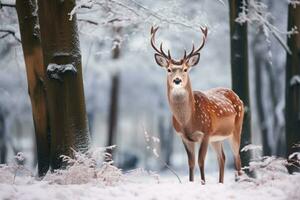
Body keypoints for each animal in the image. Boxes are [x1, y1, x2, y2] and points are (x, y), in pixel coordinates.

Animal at [151, 26, 245, 183]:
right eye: (169, 69)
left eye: (185, 69)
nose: (177, 80)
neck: (188, 121)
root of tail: (238, 97)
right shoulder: (183, 136)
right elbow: (191, 163)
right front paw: (192, 182)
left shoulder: (205, 132)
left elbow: (201, 161)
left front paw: (203, 183)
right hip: (217, 138)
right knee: (222, 158)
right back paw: (220, 182)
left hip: (236, 129)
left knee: (237, 158)